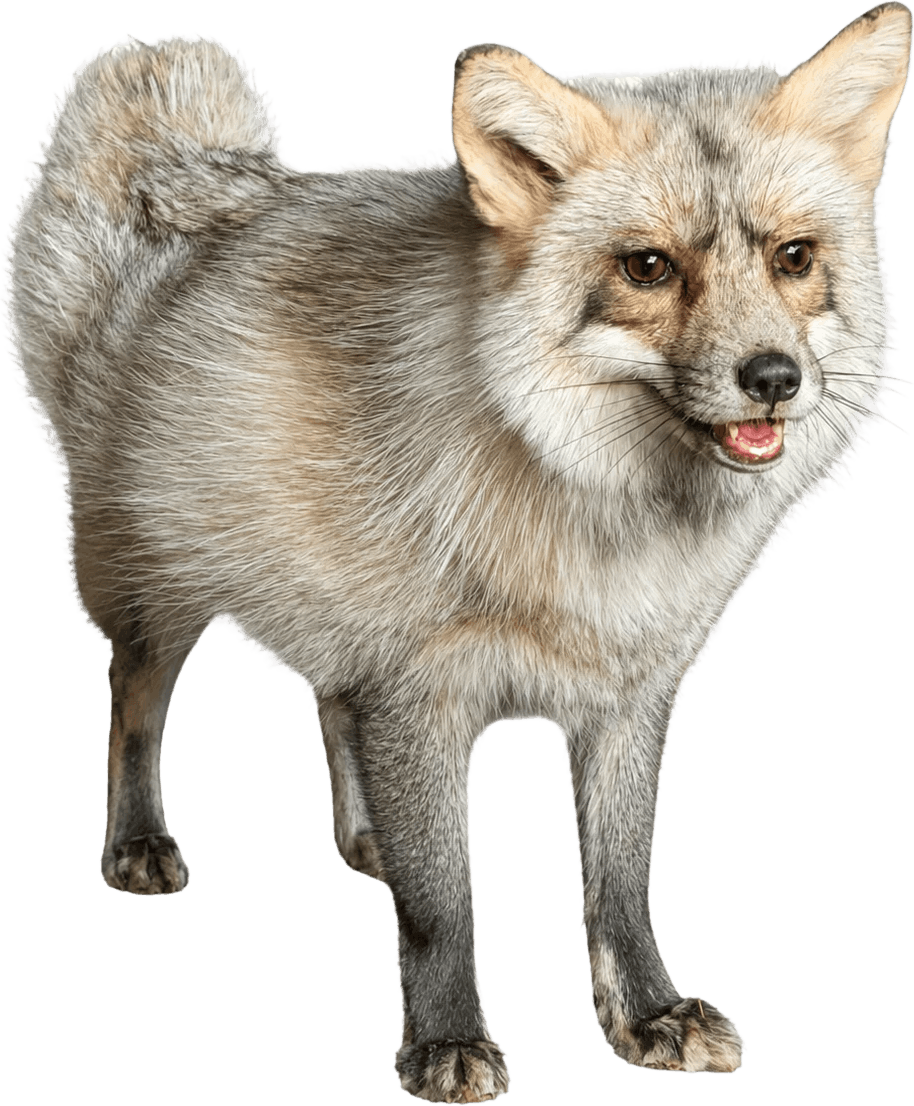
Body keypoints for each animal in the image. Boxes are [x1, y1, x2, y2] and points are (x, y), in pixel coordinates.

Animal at [2, 3, 911, 1102]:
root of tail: (202, 186)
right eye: (648, 267)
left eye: (793, 256)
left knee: (327, 697)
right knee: (133, 702)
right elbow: (444, 902)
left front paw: (646, 1015)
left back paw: (364, 835)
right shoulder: (419, 691)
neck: (598, 533)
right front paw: (444, 1041)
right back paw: (137, 840)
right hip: (157, 592)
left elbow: (619, 881)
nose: (773, 378)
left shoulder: (629, 695)